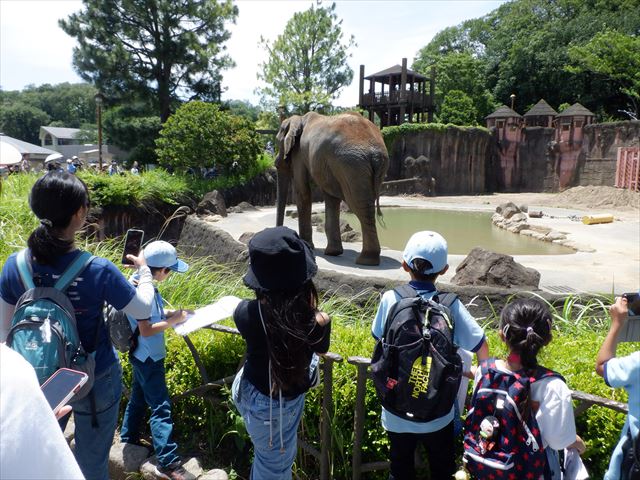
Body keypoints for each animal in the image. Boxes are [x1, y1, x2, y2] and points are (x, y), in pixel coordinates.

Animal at [274, 110, 388, 264]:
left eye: (277, 142)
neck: (299, 118)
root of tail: (375, 152)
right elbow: (331, 198)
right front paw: (333, 253)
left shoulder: (299, 154)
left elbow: (303, 192)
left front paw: (307, 246)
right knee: (366, 205)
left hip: (351, 164)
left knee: (359, 205)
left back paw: (366, 260)